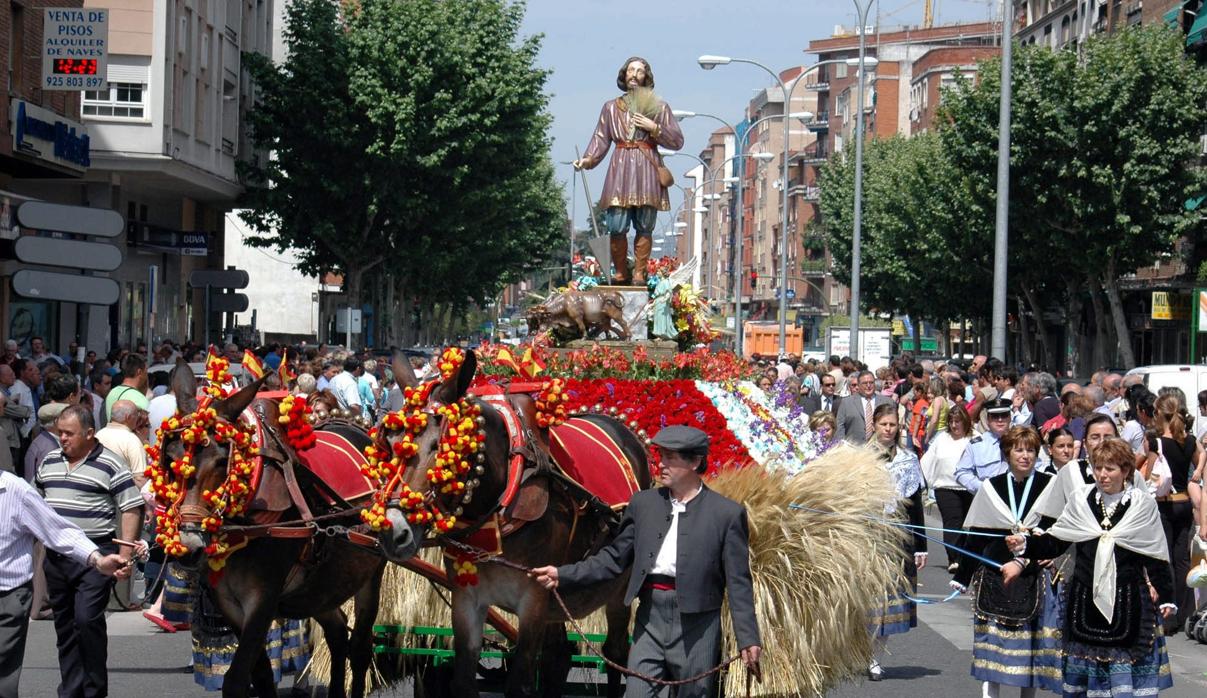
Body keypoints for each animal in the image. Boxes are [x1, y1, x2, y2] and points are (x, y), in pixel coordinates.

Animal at [149, 357, 386, 695]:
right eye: (170, 459)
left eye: (222, 462)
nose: (189, 545)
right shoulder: (227, 602)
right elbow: (259, 675)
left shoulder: (264, 598)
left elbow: (236, 678)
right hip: (320, 586)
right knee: (338, 634)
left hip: (370, 572)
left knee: (361, 648)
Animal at [366, 347, 651, 695]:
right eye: (391, 444)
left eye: (441, 447)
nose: (394, 530)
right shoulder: (467, 598)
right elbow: (464, 680)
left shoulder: (535, 599)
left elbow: (520, 683)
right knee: (559, 656)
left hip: (620, 587)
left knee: (615, 653)